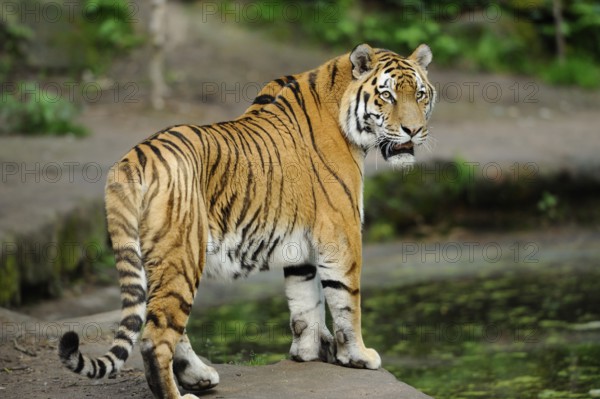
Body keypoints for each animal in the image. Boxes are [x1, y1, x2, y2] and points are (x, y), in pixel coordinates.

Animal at [57, 42, 436, 398]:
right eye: (387, 95)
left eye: (419, 94)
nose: (413, 130)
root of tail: (132, 159)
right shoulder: (341, 234)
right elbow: (346, 300)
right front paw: (358, 355)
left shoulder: (301, 245)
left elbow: (305, 300)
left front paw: (309, 352)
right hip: (182, 256)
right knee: (155, 337)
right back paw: (180, 394)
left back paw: (199, 376)